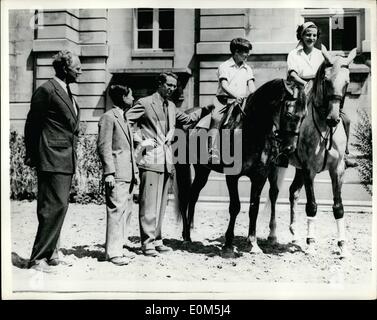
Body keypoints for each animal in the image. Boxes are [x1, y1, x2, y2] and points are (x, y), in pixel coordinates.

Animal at [175, 79, 306, 258]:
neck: (250, 131)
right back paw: (186, 236)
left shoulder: (260, 177)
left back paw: (189, 232)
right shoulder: (232, 176)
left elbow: (253, 208)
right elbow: (235, 207)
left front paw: (253, 243)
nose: (290, 148)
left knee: (193, 195)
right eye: (289, 114)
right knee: (185, 197)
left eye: (304, 116)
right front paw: (228, 245)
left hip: (203, 170)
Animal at [264, 47, 356, 258]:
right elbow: (312, 206)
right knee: (274, 193)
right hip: (277, 165)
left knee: (293, 192)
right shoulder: (309, 170)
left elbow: (338, 207)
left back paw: (295, 234)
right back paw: (273, 235)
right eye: (326, 81)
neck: (325, 128)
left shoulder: (337, 169)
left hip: (297, 169)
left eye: (347, 82)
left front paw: (342, 246)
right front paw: (311, 244)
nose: (333, 119)